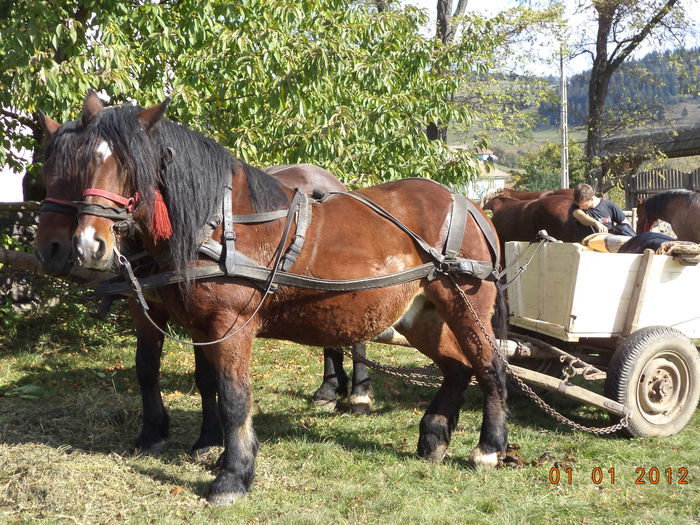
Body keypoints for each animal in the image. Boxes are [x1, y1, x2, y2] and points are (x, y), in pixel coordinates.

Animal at [64, 93, 504, 504]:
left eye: (130, 164)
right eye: (80, 161)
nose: (88, 245)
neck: (222, 224)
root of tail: (470, 205)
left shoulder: (231, 326)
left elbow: (234, 398)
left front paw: (233, 476)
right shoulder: (200, 325)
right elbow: (210, 386)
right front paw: (213, 451)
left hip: (466, 306)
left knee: (490, 364)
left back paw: (489, 446)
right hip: (421, 314)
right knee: (458, 367)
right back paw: (434, 436)